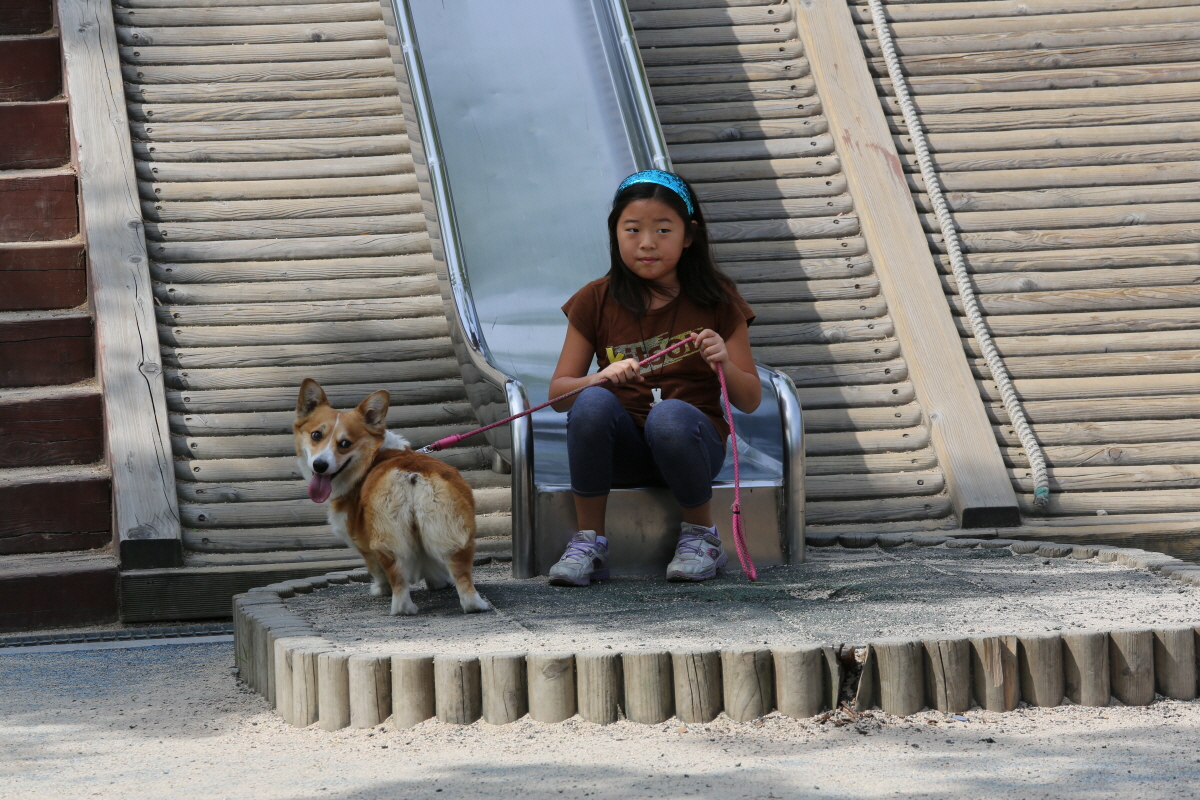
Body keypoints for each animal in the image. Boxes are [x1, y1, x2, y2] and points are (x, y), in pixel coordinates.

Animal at [294, 378, 489, 616]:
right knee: (461, 574)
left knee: (397, 577)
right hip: (451, 530)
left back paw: (402, 608)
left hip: (387, 537)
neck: (373, 456)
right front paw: (439, 583)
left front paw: (379, 589)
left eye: (345, 443)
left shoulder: (361, 541)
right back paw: (476, 605)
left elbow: (374, 568)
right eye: (316, 435)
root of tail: (411, 474)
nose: (319, 465)